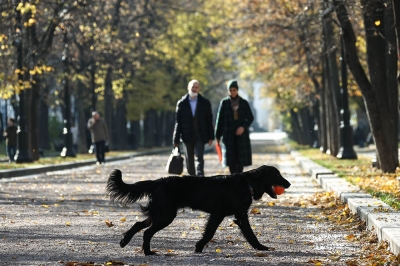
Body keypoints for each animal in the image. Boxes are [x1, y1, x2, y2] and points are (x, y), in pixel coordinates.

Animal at [107, 165, 290, 255]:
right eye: (277, 174)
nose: (288, 184)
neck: (247, 183)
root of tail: (158, 181)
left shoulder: (241, 216)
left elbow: (251, 235)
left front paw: (261, 248)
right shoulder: (218, 214)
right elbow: (209, 233)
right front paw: (199, 247)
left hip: (160, 213)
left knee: (139, 224)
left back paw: (124, 241)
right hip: (166, 215)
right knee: (146, 232)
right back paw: (148, 252)